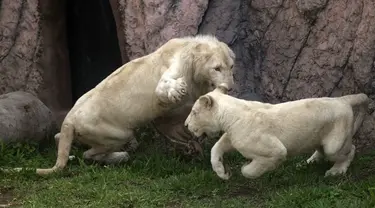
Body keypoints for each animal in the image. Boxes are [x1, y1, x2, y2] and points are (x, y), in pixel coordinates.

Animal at [5, 34, 235, 176]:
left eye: (231, 66)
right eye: (216, 68)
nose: (230, 87)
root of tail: (69, 119)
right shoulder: (171, 76)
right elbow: (164, 89)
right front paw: (178, 90)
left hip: (75, 132)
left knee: (58, 138)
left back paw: (70, 152)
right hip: (118, 133)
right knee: (90, 155)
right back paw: (121, 155)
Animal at [185, 84, 370, 180]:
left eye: (194, 112)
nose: (186, 125)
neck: (230, 116)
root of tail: (343, 99)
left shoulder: (274, 149)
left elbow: (251, 170)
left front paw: (244, 167)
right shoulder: (233, 137)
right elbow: (216, 148)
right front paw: (223, 172)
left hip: (335, 142)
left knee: (349, 150)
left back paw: (335, 171)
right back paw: (309, 161)